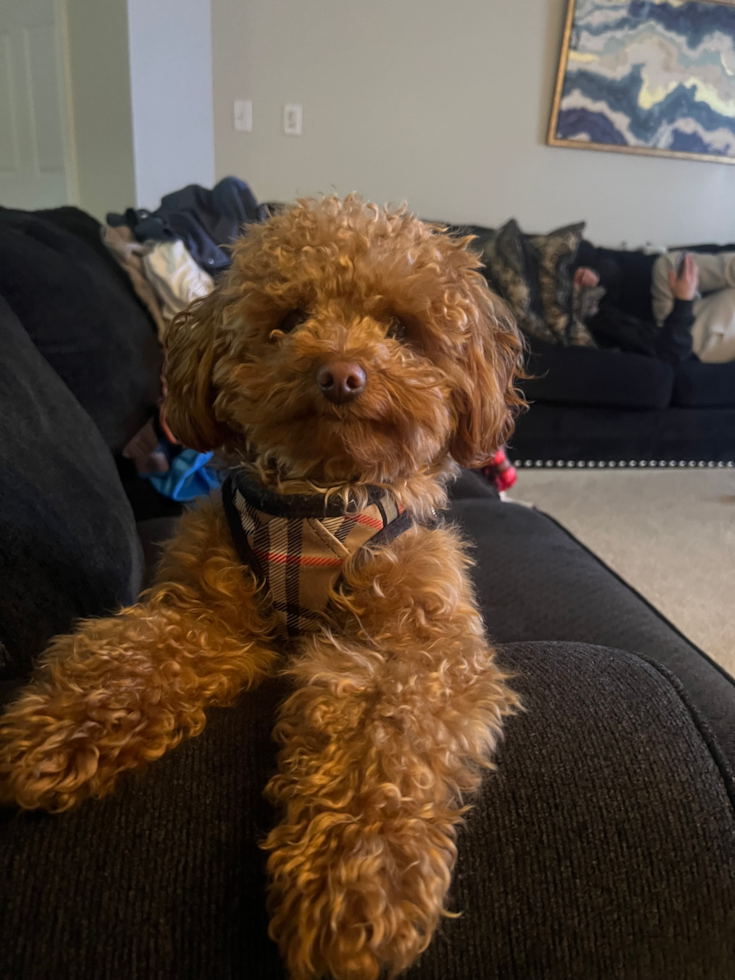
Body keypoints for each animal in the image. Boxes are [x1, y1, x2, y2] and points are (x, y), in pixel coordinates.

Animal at [1, 195, 528, 976]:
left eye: (401, 330)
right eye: (289, 319)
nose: (341, 375)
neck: (318, 499)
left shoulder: (411, 647)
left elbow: (388, 743)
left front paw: (356, 885)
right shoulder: (205, 611)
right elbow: (129, 656)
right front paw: (60, 730)